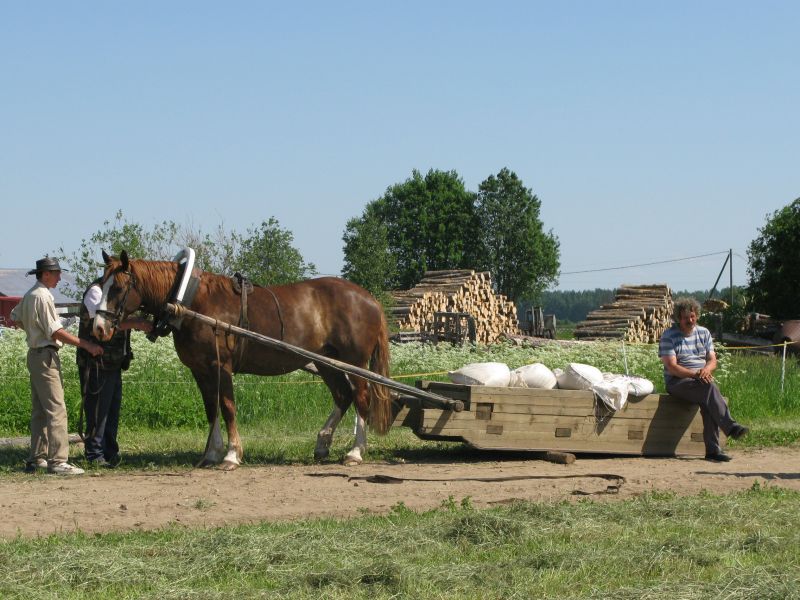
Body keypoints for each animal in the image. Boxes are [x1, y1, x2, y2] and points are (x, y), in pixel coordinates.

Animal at [94, 248, 394, 468]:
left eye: (117, 287)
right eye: (100, 284)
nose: (99, 327)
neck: (190, 300)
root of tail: (369, 298)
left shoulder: (220, 366)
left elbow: (227, 407)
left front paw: (231, 455)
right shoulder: (200, 370)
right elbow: (211, 408)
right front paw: (211, 454)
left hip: (355, 363)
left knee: (361, 398)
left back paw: (355, 452)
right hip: (326, 362)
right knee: (343, 396)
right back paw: (322, 444)